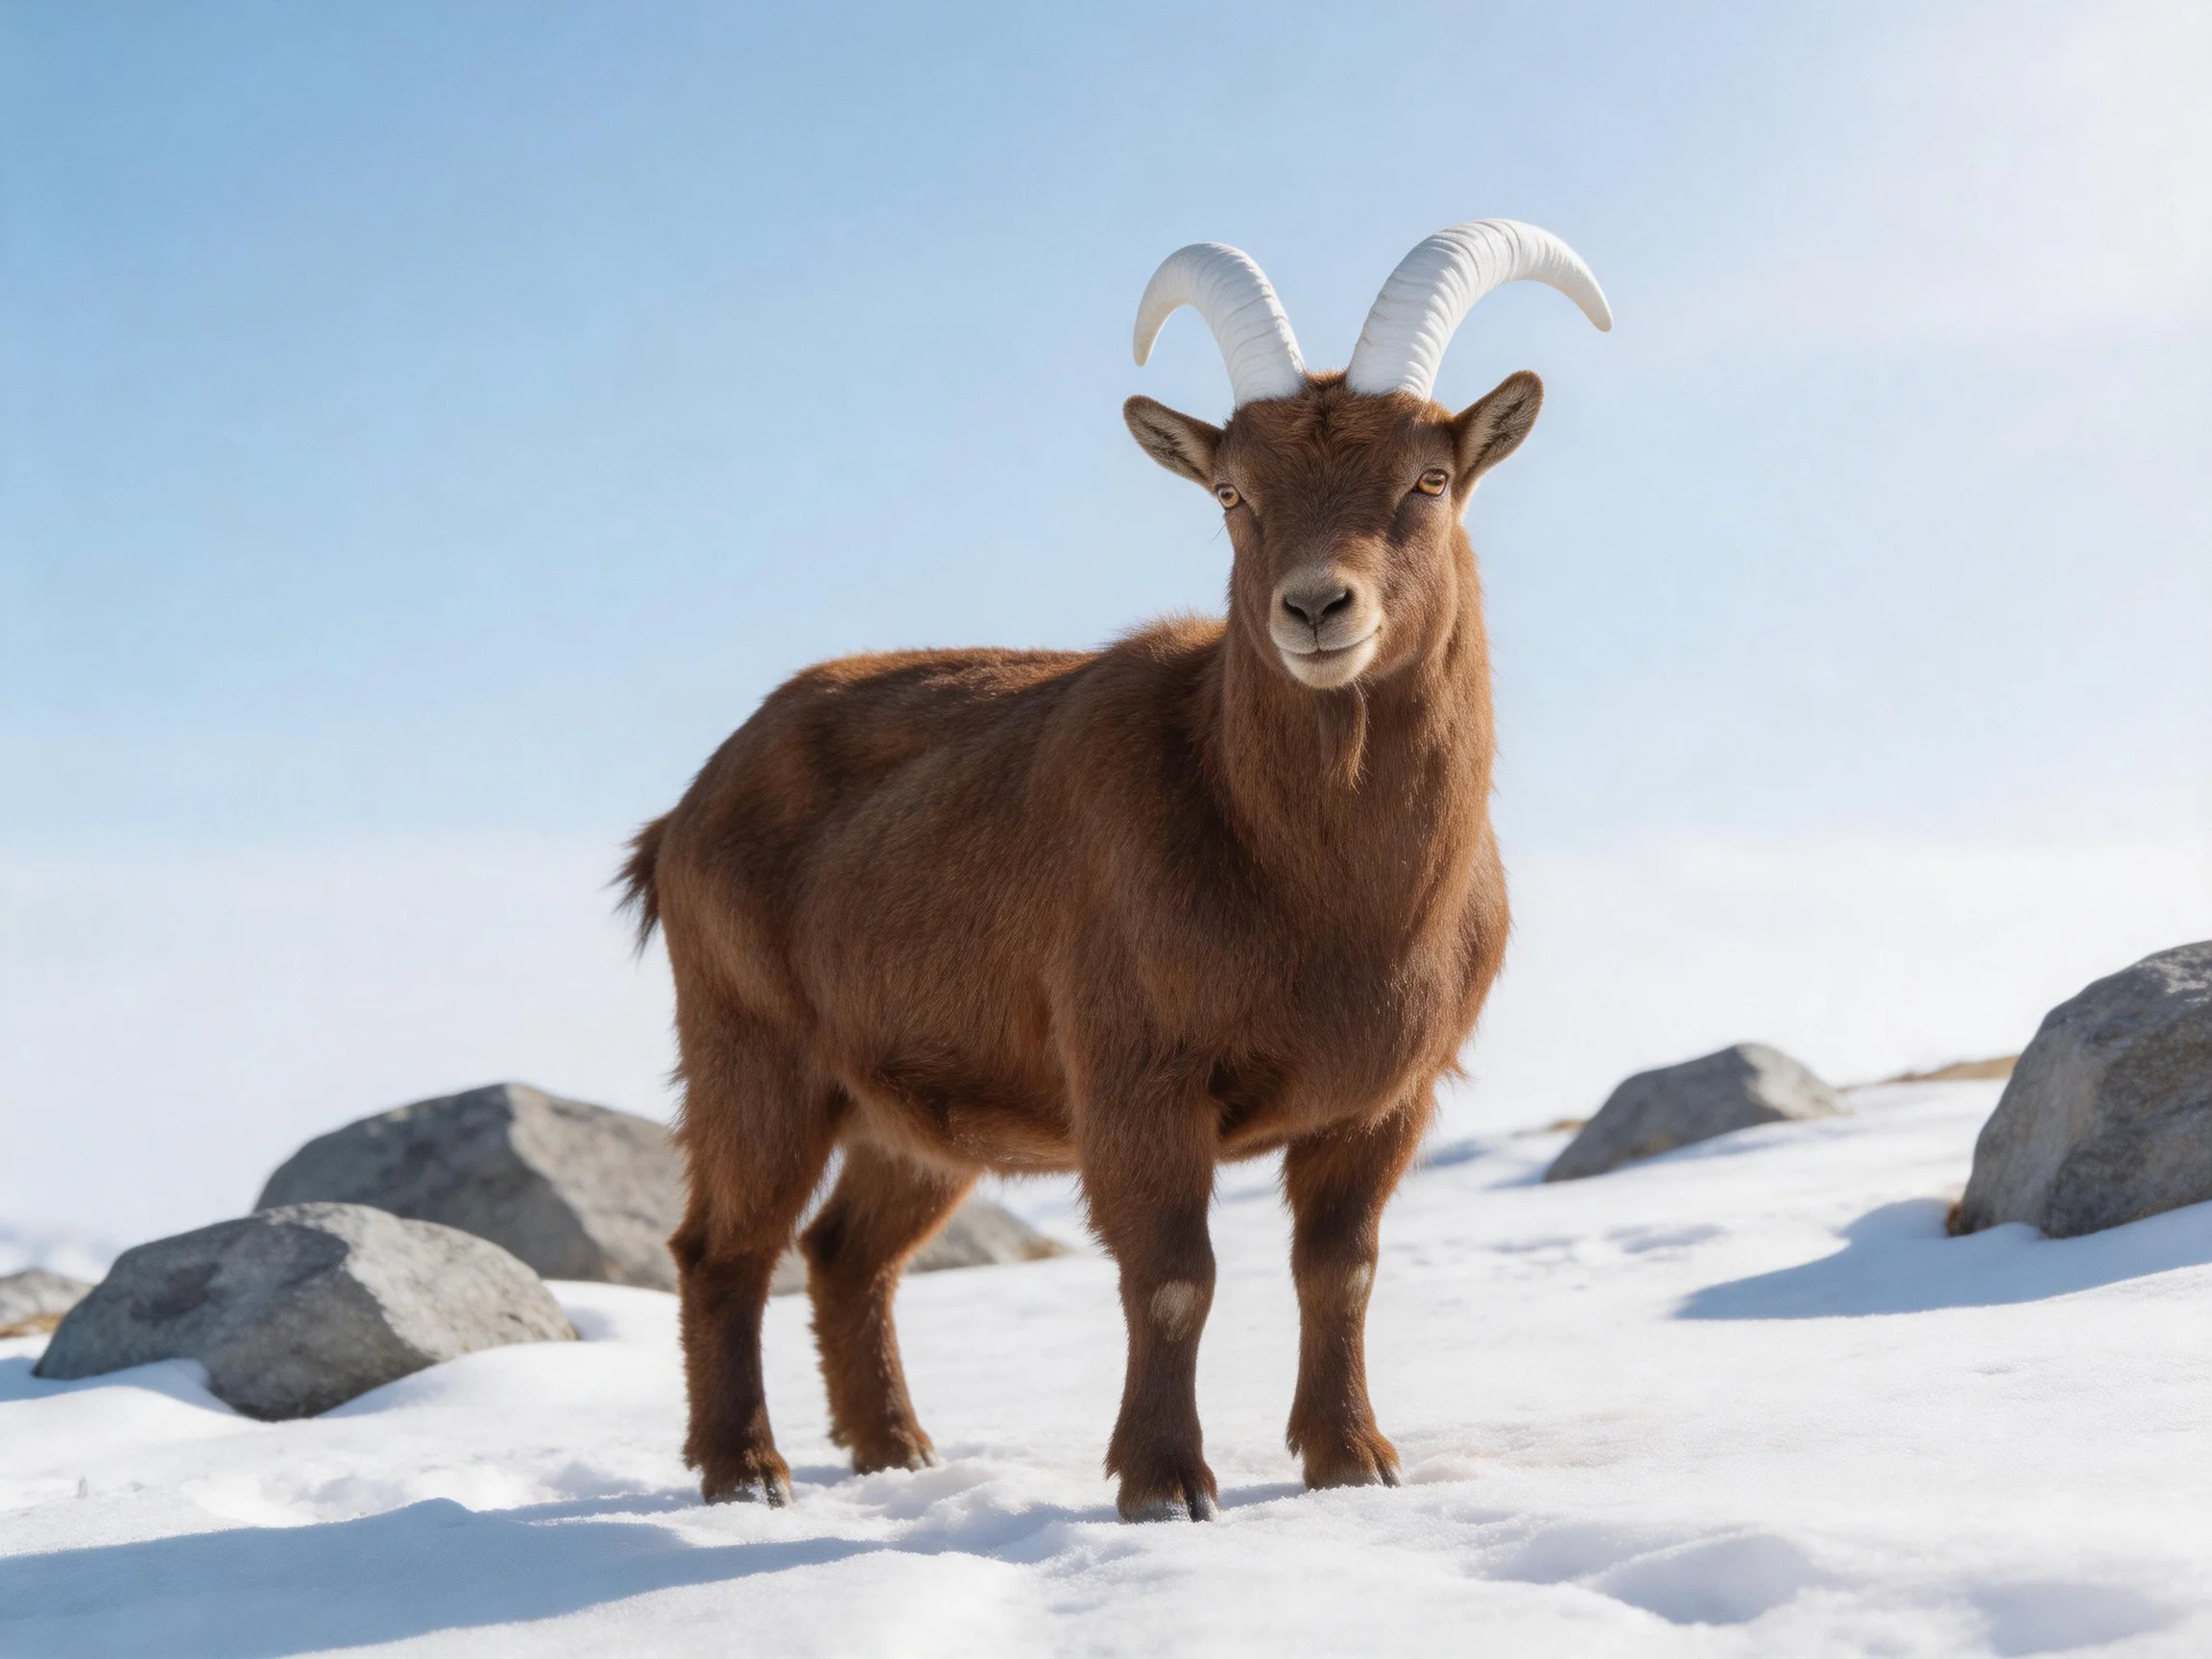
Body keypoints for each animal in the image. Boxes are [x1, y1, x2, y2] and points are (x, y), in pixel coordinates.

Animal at [623, 220, 1611, 1520]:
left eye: (1429, 479)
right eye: (1234, 490)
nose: (1316, 608)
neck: (1330, 895)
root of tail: (682, 815)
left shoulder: (1384, 1101)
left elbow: (1340, 1271)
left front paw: (1352, 1462)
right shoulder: (1138, 1078)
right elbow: (1174, 1277)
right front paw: (1164, 1485)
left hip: (914, 1110)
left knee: (847, 1253)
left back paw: (896, 1451)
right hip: (755, 1054)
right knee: (724, 1249)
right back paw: (747, 1472)